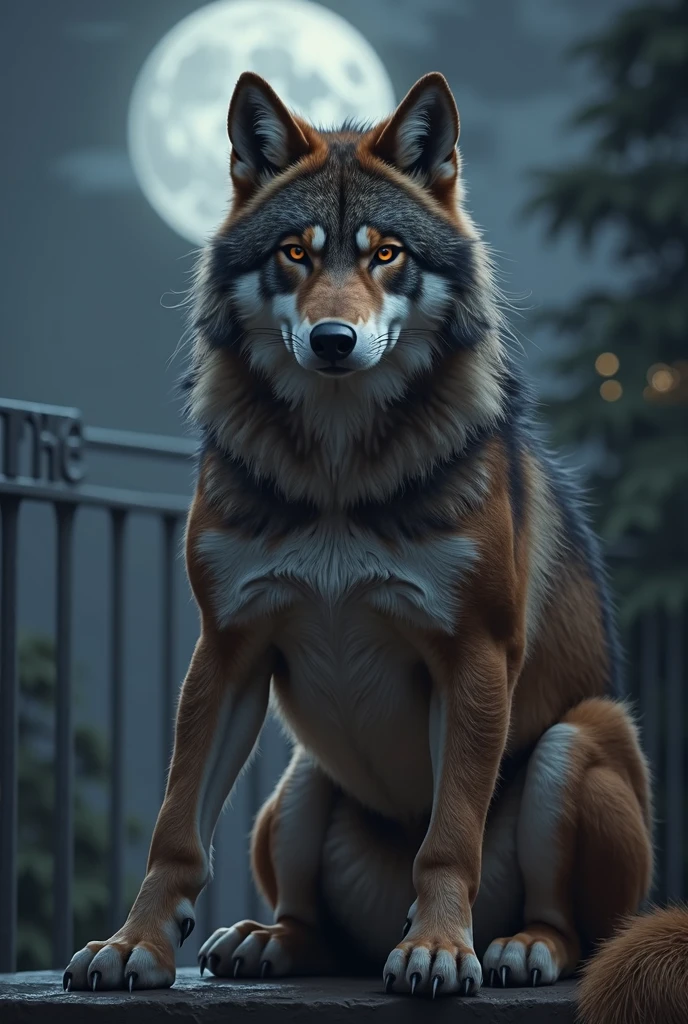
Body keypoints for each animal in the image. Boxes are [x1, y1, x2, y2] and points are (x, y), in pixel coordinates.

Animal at [65, 72, 684, 1019]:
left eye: (386, 253)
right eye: (296, 252)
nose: (333, 341)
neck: (336, 473)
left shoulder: (472, 653)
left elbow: (450, 835)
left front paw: (436, 950)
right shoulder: (228, 648)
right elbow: (176, 828)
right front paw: (133, 945)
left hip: (577, 741)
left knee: (573, 931)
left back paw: (513, 947)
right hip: (295, 786)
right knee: (316, 926)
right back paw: (269, 940)